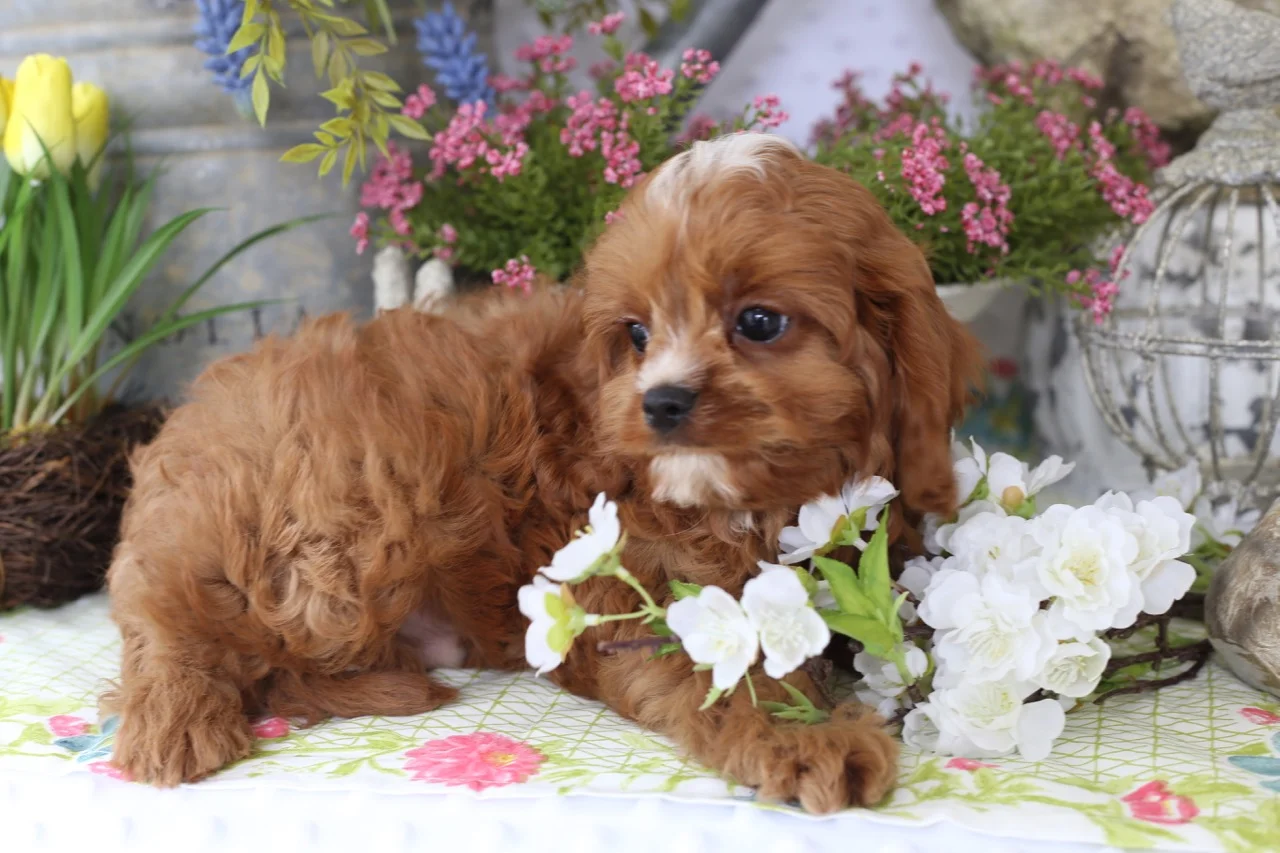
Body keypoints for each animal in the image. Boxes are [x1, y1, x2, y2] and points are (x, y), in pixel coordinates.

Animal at [103, 133, 981, 814]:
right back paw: (176, 715)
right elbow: (720, 665)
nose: (661, 401)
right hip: (344, 521)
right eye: (636, 334)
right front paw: (806, 734)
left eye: (759, 322)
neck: (760, 505)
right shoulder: (621, 590)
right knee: (169, 610)